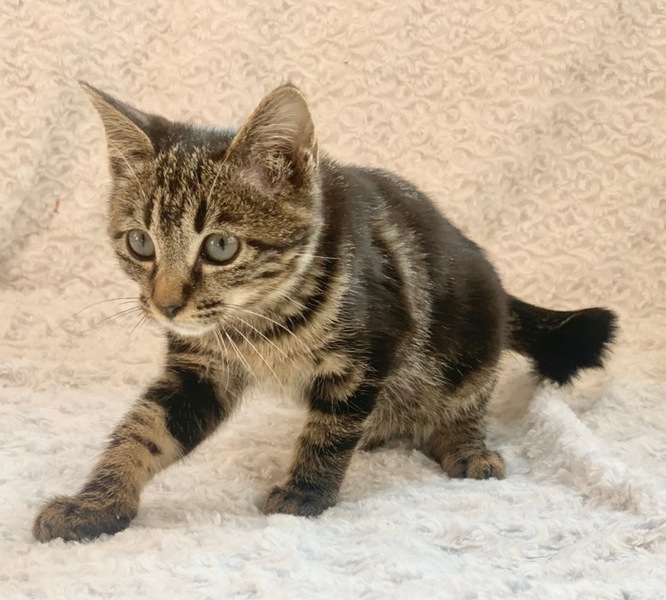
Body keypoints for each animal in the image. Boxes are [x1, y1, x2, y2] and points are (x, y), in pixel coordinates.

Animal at [33, 83, 617, 542]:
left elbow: (330, 432)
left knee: (468, 397)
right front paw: (96, 504)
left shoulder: (365, 352)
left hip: (468, 336)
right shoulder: (199, 368)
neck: (260, 320)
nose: (166, 305)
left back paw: (465, 446)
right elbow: (146, 429)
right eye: (140, 243)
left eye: (220, 247)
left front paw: (305, 494)